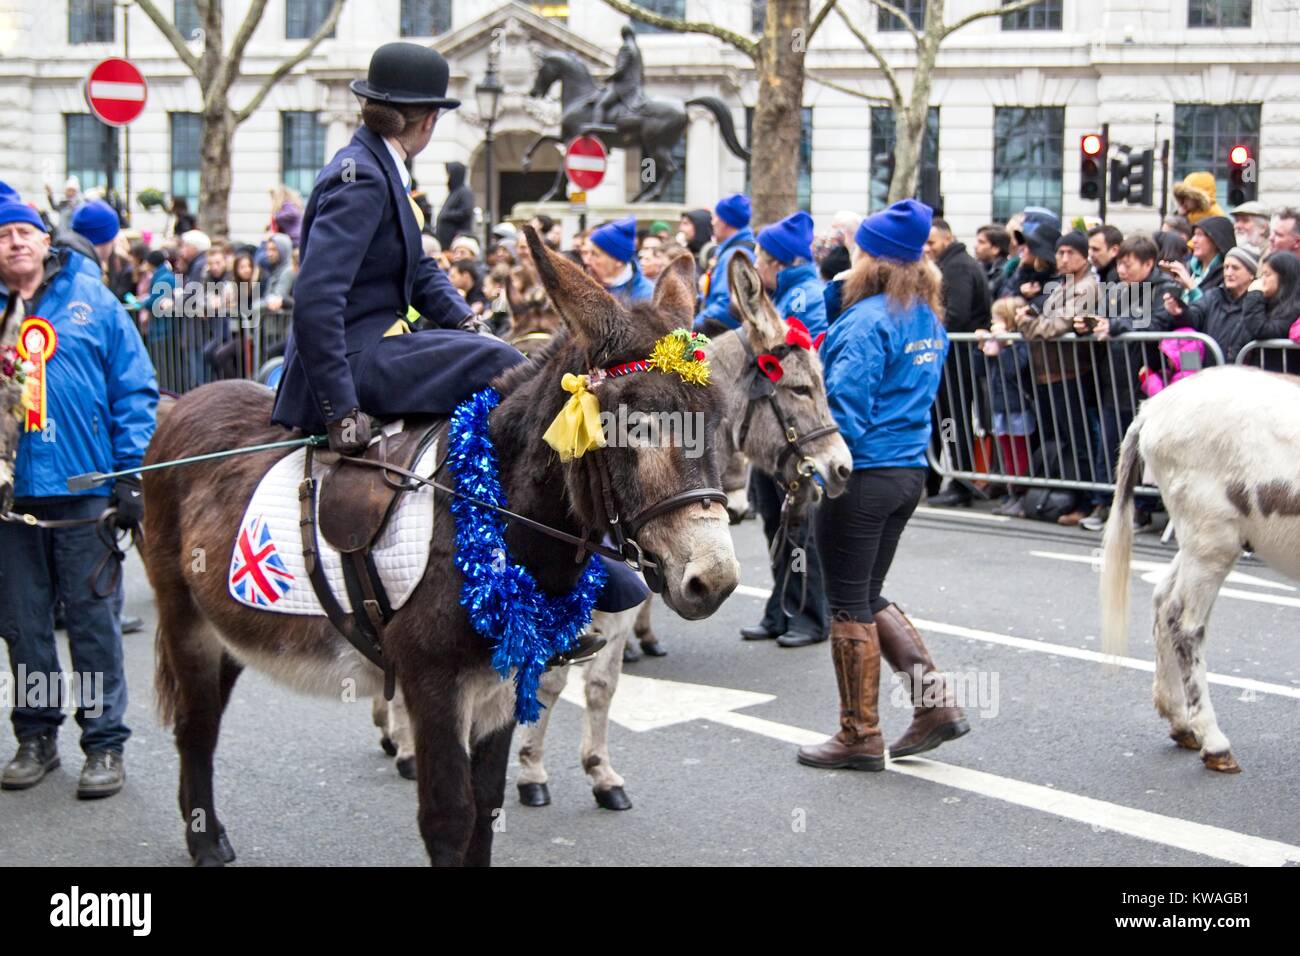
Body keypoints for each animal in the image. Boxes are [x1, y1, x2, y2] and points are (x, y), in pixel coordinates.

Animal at [1097, 361, 1300, 775]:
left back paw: (1180, 722)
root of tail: (1152, 408)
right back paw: (1213, 742)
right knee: (1185, 623)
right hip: (1211, 542)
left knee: (1163, 601)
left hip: (1198, 542)